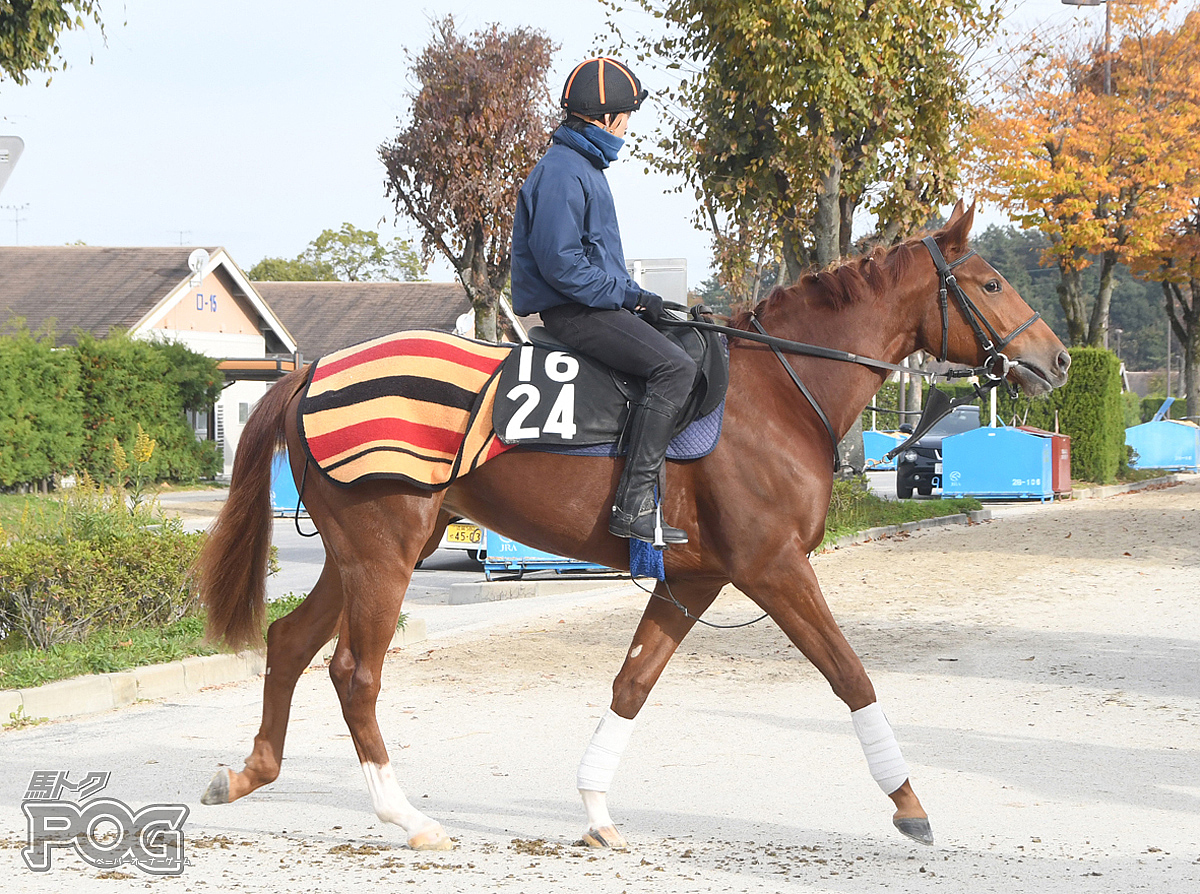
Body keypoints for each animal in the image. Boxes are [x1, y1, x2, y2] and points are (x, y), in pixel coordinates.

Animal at [196, 204, 1070, 849]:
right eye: (990, 282)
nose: (1059, 360)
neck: (778, 390)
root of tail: (313, 371)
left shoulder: (697, 577)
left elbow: (633, 682)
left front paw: (595, 810)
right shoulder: (774, 567)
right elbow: (850, 674)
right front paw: (910, 803)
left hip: (359, 555)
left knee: (290, 643)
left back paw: (248, 773)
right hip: (385, 552)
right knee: (355, 672)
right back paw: (404, 816)